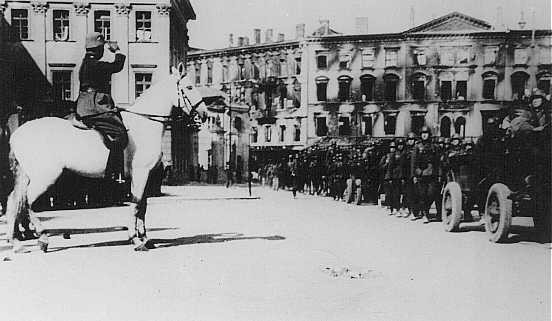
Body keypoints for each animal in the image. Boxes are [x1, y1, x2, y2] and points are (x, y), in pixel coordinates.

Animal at [4, 63, 207, 252]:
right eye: (189, 87)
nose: (204, 115)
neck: (144, 123)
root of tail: (17, 133)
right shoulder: (141, 174)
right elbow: (136, 204)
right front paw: (135, 239)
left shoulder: (146, 176)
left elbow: (143, 205)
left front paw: (145, 238)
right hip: (45, 177)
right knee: (28, 201)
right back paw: (42, 238)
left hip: (28, 176)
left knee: (14, 201)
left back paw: (16, 243)